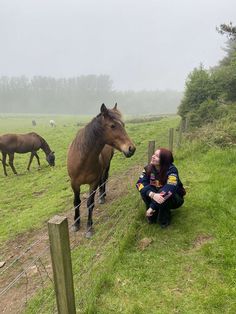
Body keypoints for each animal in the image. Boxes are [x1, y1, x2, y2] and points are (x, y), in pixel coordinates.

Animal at [67, 104, 136, 237]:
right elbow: (76, 202)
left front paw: (89, 228)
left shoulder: (93, 183)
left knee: (104, 179)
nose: (131, 148)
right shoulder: (74, 183)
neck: (83, 159)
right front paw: (76, 224)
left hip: (107, 166)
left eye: (123, 124)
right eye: (113, 126)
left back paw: (102, 196)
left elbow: (90, 203)